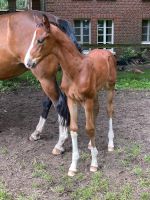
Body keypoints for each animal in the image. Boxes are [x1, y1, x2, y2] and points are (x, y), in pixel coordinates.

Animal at [0, 10, 81, 155]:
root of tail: (55, 20)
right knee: (48, 102)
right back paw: (36, 133)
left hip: (45, 78)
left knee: (59, 103)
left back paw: (60, 144)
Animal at [24, 14, 117, 176]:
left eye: (40, 40)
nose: (28, 62)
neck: (76, 70)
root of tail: (106, 52)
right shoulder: (72, 100)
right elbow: (74, 129)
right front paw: (73, 167)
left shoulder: (87, 99)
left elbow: (89, 128)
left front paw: (94, 164)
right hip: (95, 94)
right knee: (97, 110)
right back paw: (91, 145)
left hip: (109, 88)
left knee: (109, 111)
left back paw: (110, 144)